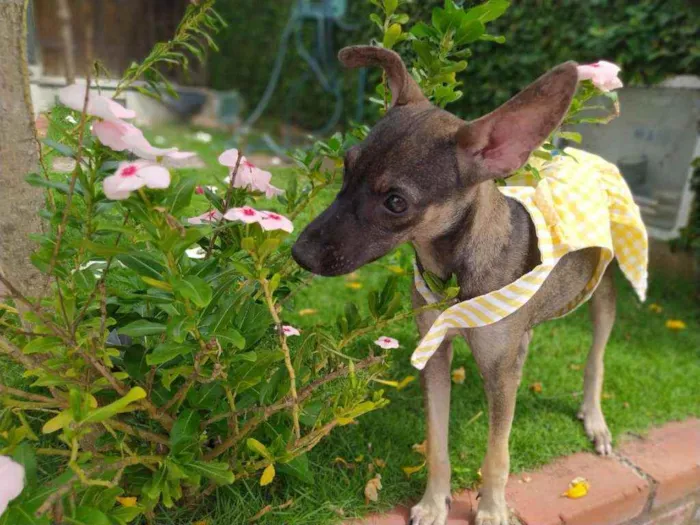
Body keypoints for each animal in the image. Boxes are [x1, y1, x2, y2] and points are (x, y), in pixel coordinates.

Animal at [292, 46, 620, 524]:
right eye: (346, 168)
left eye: (395, 202)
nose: (299, 254)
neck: (453, 274)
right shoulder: (435, 352)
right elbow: (437, 441)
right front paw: (433, 502)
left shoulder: (499, 374)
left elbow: (498, 452)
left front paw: (493, 509)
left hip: (604, 290)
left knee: (596, 357)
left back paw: (595, 419)